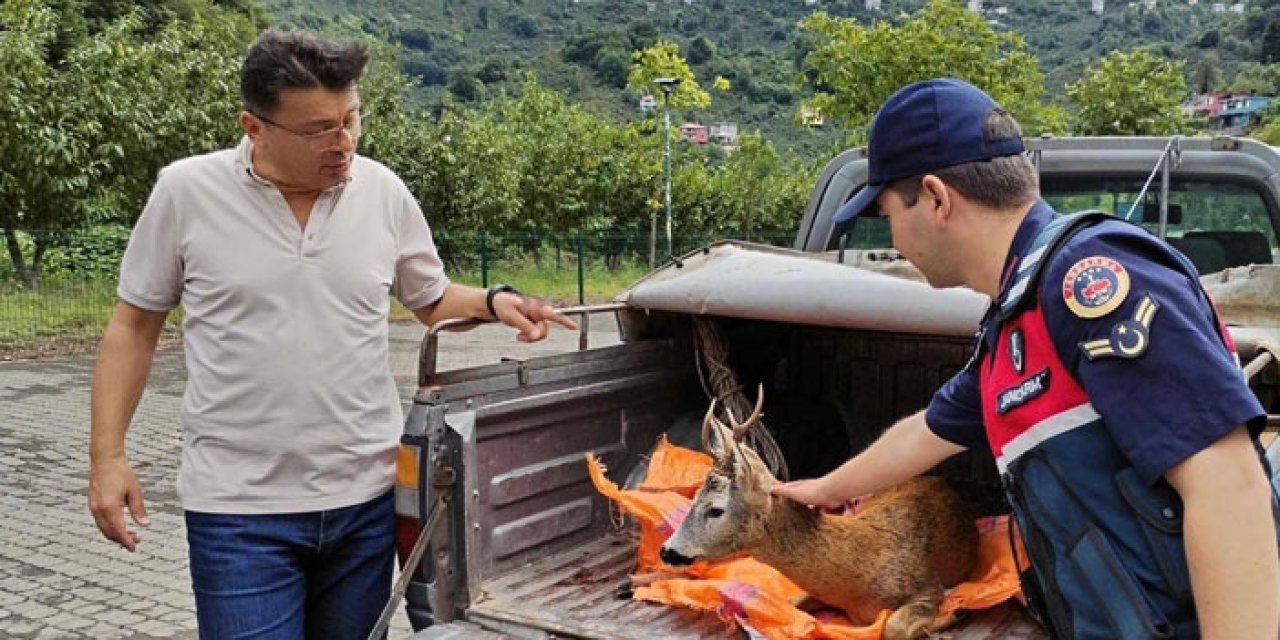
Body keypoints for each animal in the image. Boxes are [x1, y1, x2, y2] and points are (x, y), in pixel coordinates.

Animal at [660, 389, 977, 640]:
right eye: (694, 498)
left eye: (715, 510)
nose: (666, 551)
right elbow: (790, 604)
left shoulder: (926, 585)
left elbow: (893, 628)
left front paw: (955, 613)